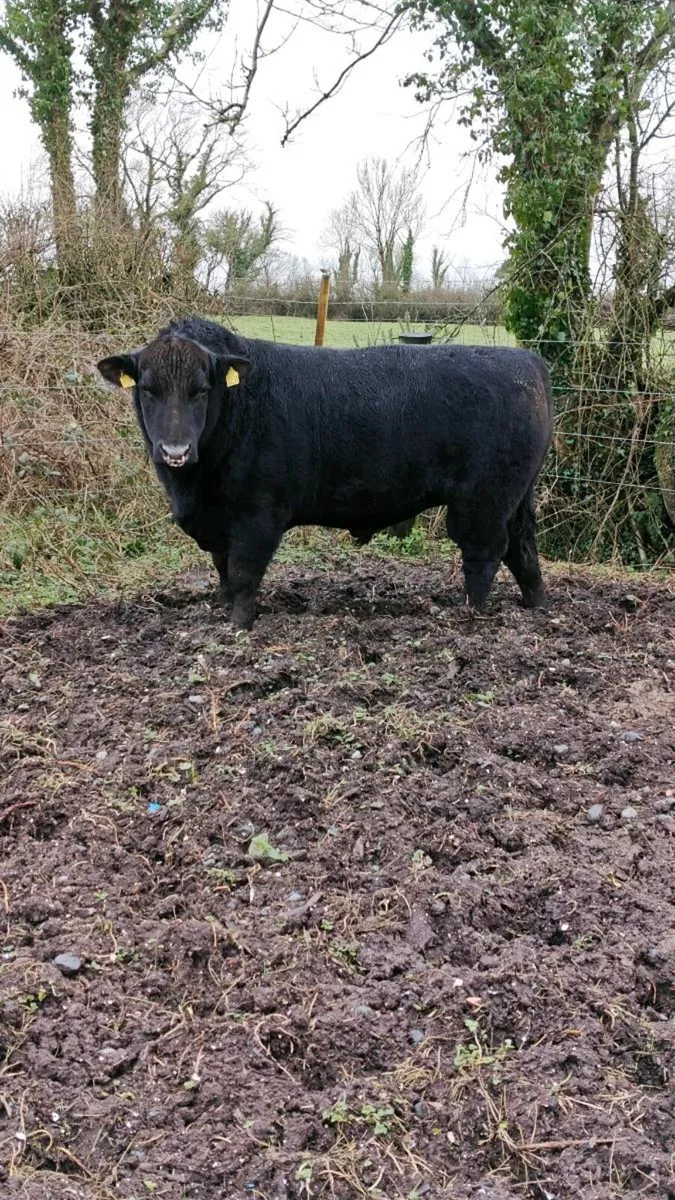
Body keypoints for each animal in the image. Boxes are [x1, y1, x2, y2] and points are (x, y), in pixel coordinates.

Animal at [97, 317, 553, 630]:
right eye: (147, 389)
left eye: (202, 390)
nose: (174, 451)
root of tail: (527, 361)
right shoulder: (218, 521)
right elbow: (223, 570)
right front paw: (223, 609)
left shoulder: (258, 514)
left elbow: (243, 573)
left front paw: (239, 625)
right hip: (516, 496)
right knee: (523, 550)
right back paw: (537, 605)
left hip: (483, 499)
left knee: (484, 553)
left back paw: (470, 612)